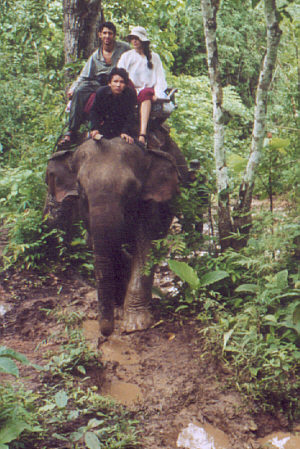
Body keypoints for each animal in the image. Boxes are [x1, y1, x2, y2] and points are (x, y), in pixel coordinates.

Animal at [43, 133, 189, 336]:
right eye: (80, 188)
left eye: (131, 189)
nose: (106, 332)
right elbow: (98, 243)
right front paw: (120, 308)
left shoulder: (150, 203)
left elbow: (145, 246)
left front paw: (135, 324)